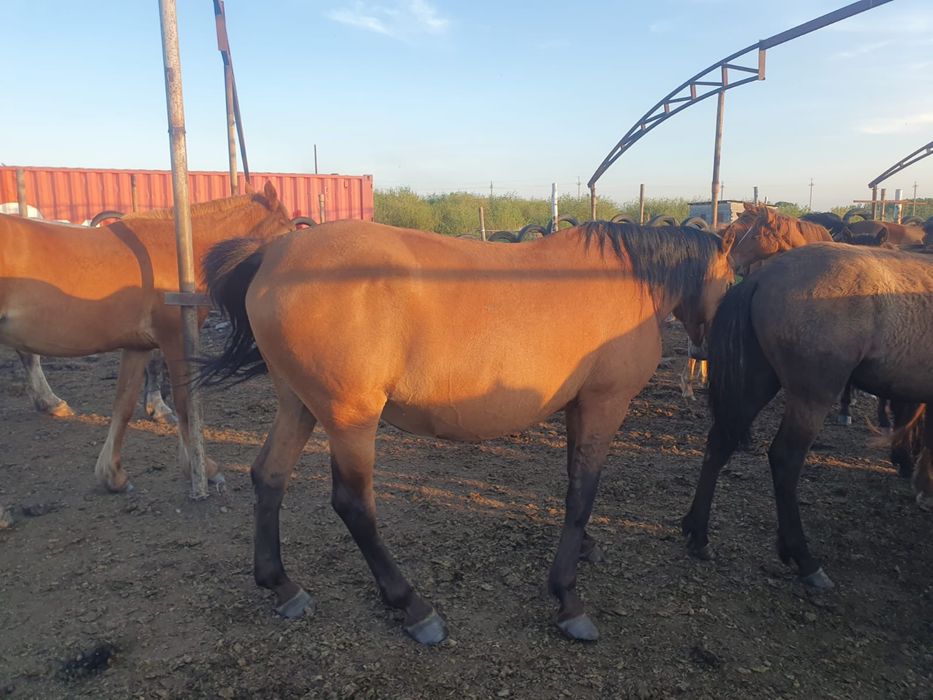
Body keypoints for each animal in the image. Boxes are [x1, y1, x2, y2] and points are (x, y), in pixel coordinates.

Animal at [0, 182, 293, 492]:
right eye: (287, 230)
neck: (176, 251)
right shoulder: (175, 338)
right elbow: (185, 403)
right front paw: (203, 468)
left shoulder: (137, 346)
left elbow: (124, 405)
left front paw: (113, 474)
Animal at [198, 220, 734, 644]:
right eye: (732, 281)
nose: (708, 353)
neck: (625, 280)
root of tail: (273, 253)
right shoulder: (606, 403)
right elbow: (583, 493)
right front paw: (567, 597)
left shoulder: (580, 406)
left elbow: (573, 483)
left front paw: (584, 550)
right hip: (350, 417)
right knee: (353, 505)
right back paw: (413, 607)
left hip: (299, 405)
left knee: (269, 477)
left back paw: (281, 585)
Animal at [682, 242, 933, 591]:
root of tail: (760, 278)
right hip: (811, 397)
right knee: (785, 459)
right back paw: (805, 560)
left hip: (756, 383)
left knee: (719, 444)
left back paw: (698, 534)